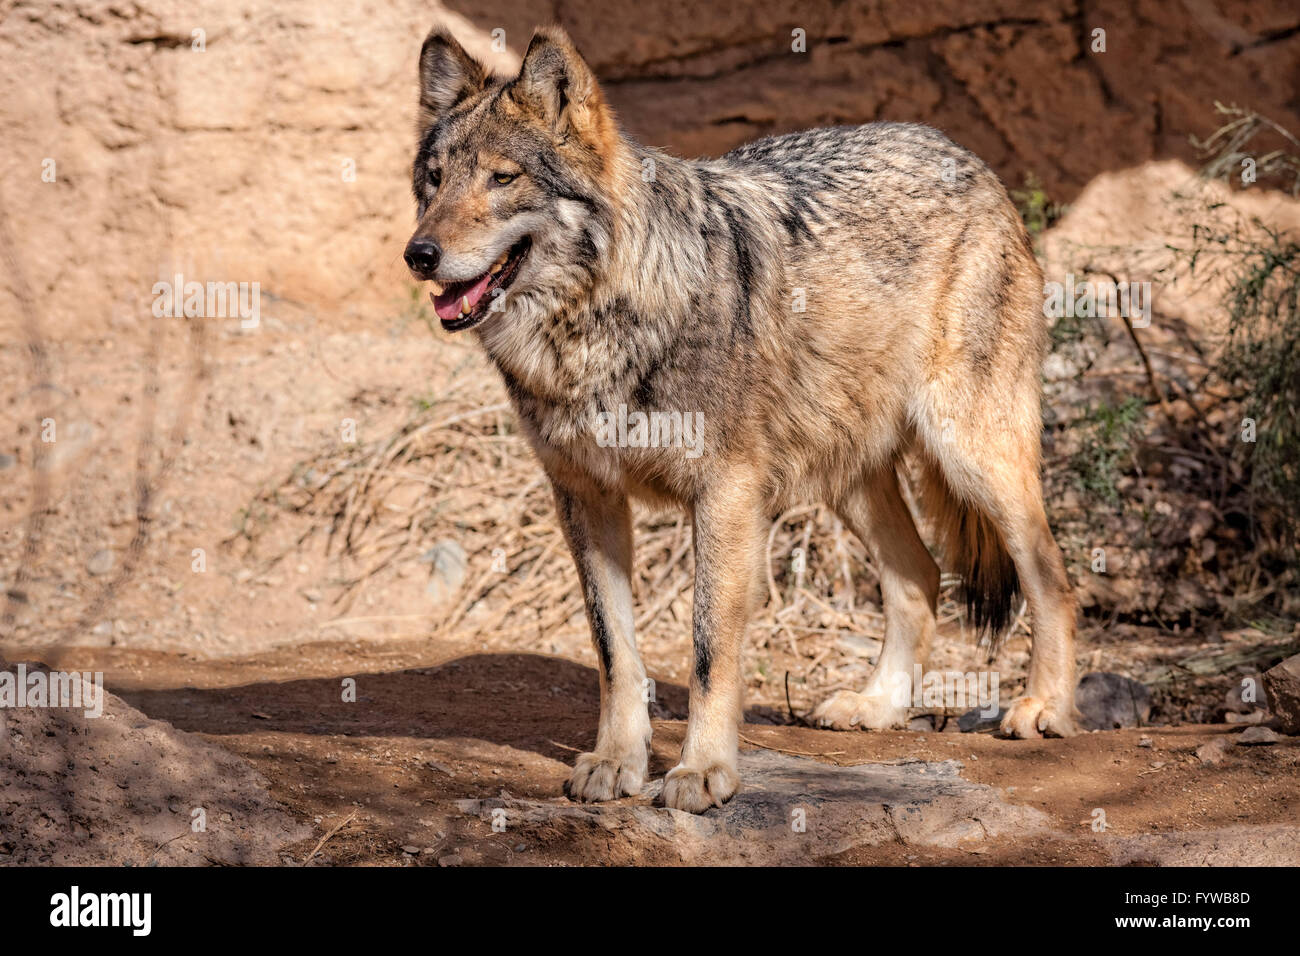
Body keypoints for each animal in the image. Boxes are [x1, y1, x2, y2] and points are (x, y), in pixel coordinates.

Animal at [400, 26, 1081, 811]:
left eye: (502, 179)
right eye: (434, 180)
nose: (419, 254)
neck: (597, 328)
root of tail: (963, 155)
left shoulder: (724, 495)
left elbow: (707, 649)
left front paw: (701, 772)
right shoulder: (585, 498)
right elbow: (614, 649)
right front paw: (617, 762)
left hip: (972, 455)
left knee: (1052, 577)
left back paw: (1044, 709)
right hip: (848, 479)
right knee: (920, 574)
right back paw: (878, 706)